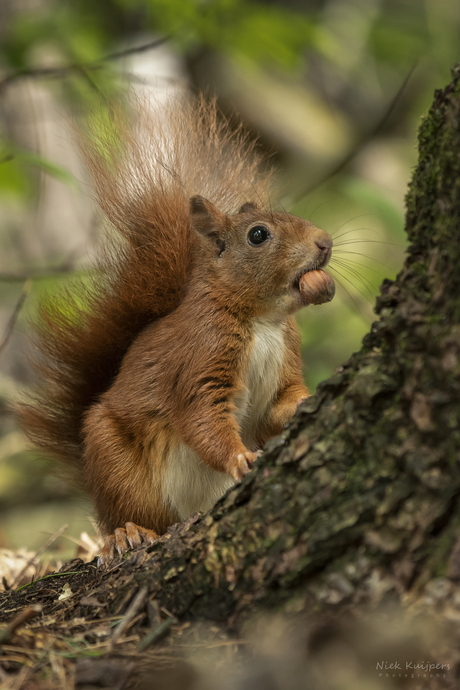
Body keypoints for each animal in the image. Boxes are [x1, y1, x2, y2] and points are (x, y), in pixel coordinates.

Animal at [18, 95, 334, 560]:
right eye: (258, 235)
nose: (325, 242)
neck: (263, 319)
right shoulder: (201, 356)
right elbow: (203, 418)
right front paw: (239, 458)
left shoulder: (284, 361)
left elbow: (280, 405)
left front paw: (308, 402)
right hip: (118, 465)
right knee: (129, 515)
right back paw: (127, 534)